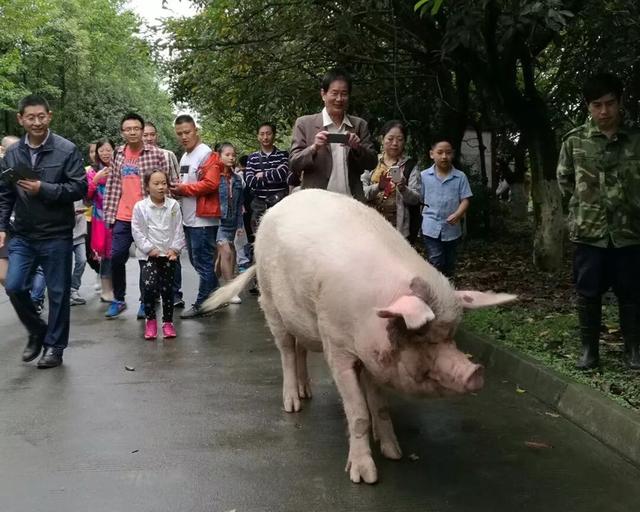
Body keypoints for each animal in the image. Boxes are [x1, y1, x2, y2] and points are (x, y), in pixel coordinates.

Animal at [205, 188, 516, 484]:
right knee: (287, 352)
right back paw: (293, 405)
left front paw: (394, 454)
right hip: (270, 303)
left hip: (301, 319)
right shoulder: (337, 347)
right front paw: (365, 477)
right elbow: (358, 413)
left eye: (451, 336)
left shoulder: (374, 357)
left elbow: (380, 407)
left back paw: (307, 393)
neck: (369, 315)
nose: (474, 371)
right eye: (420, 336)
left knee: (301, 349)